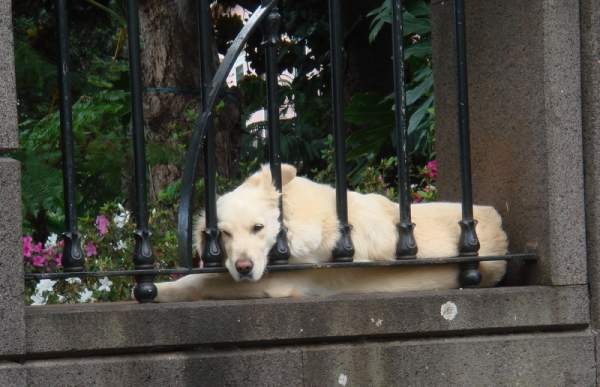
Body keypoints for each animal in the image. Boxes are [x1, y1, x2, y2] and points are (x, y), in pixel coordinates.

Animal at [155, 164, 506, 304]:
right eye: (224, 234)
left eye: (258, 228)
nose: (244, 268)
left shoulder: (279, 282)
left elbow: (197, 281)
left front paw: (157, 289)